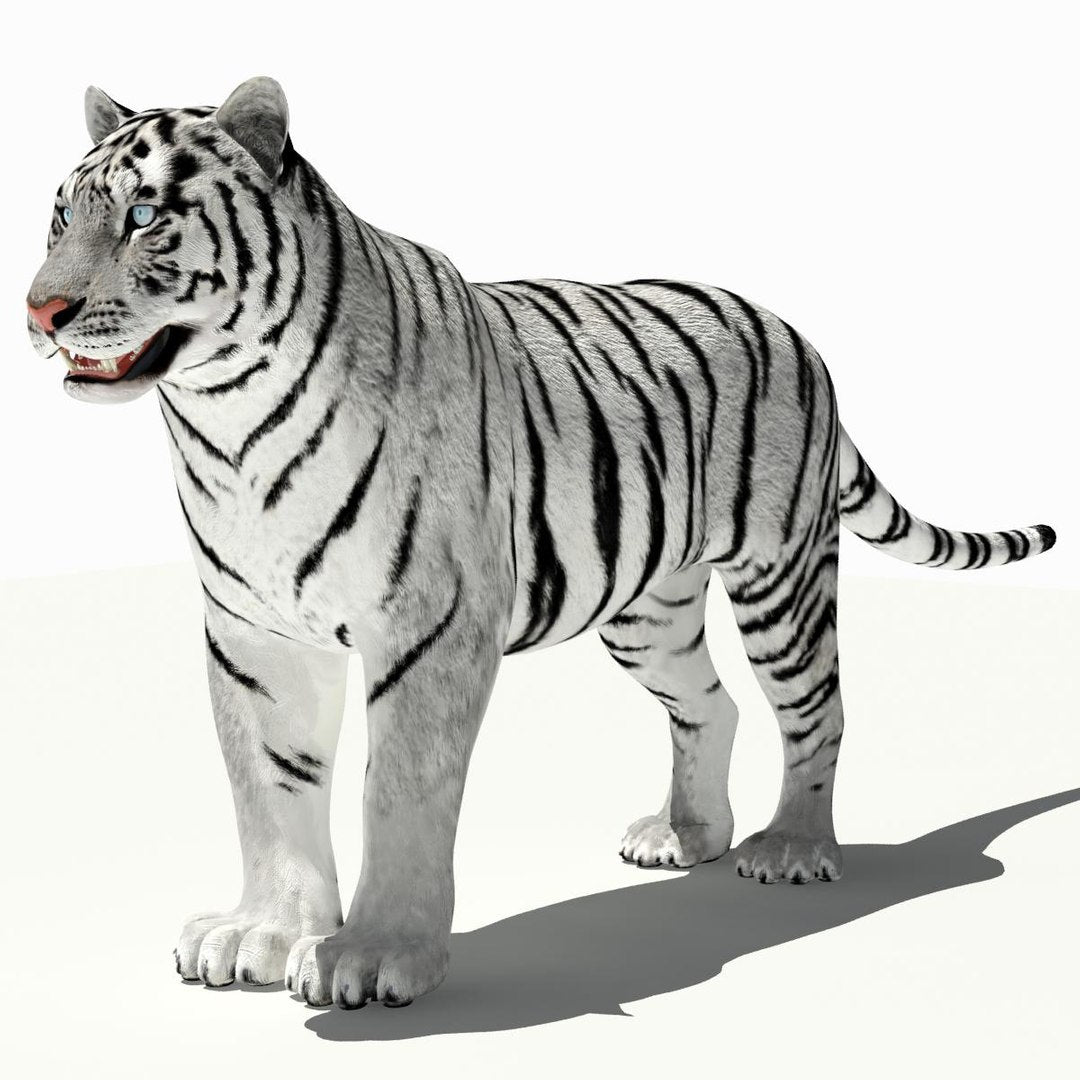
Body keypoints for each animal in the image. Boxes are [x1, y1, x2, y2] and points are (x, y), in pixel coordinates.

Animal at [26, 77, 1056, 1011]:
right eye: (61, 217)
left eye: (145, 215)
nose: (40, 313)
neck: (228, 417)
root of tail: (796, 332)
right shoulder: (254, 636)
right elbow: (270, 790)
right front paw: (265, 934)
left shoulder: (430, 625)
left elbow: (400, 788)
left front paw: (378, 956)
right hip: (648, 610)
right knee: (710, 704)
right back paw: (686, 836)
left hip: (781, 577)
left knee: (816, 709)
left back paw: (793, 848)